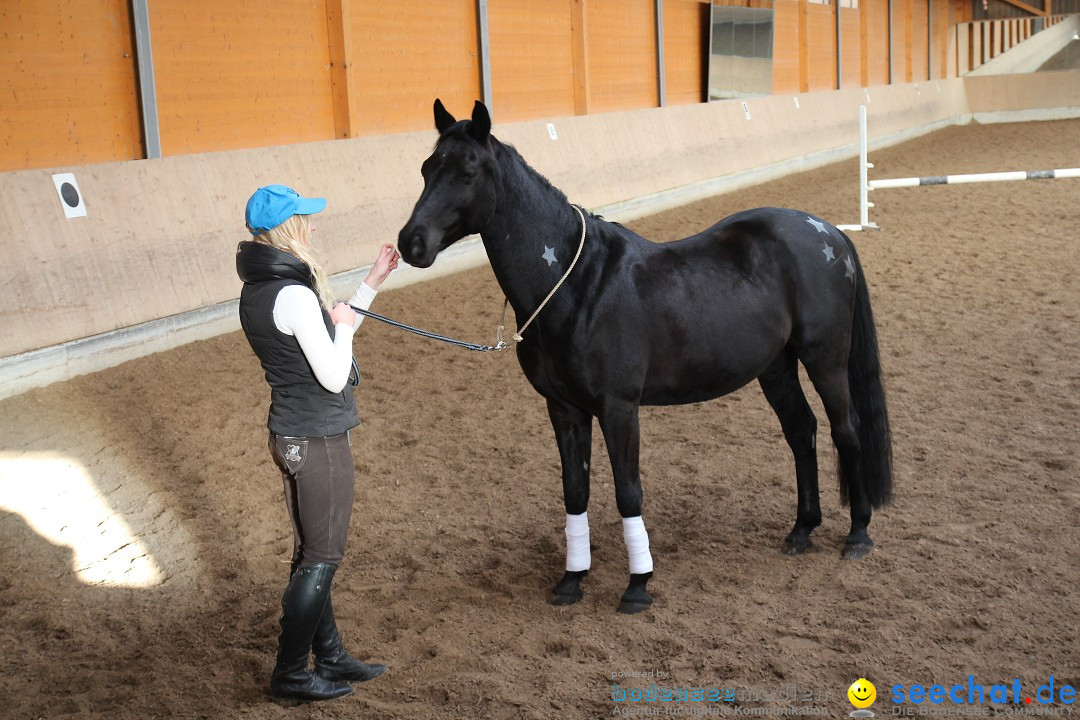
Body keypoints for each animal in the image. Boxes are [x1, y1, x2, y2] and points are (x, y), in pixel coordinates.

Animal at [397, 98, 894, 613]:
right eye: (427, 168)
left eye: (467, 172)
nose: (410, 242)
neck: (578, 285)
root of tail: (829, 232)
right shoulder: (564, 409)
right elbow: (575, 490)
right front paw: (572, 580)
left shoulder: (619, 408)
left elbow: (627, 491)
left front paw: (638, 585)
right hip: (775, 368)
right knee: (801, 431)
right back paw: (801, 530)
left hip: (825, 358)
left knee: (846, 430)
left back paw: (857, 534)